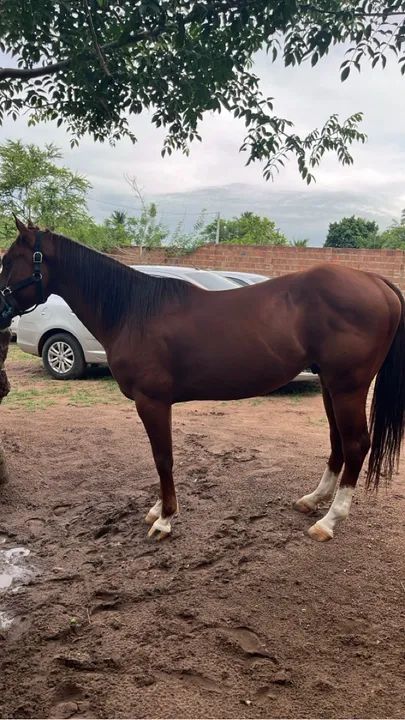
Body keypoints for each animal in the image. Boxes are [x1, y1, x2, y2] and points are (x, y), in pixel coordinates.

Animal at [0, 217, 404, 542]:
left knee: (356, 444)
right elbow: (161, 458)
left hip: (348, 386)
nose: (1, 310)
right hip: (330, 386)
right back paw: (313, 500)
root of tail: (376, 281)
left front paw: (164, 519)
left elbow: (162, 457)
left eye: (8, 262)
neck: (132, 310)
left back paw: (329, 521)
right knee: (338, 442)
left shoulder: (152, 402)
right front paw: (158, 509)